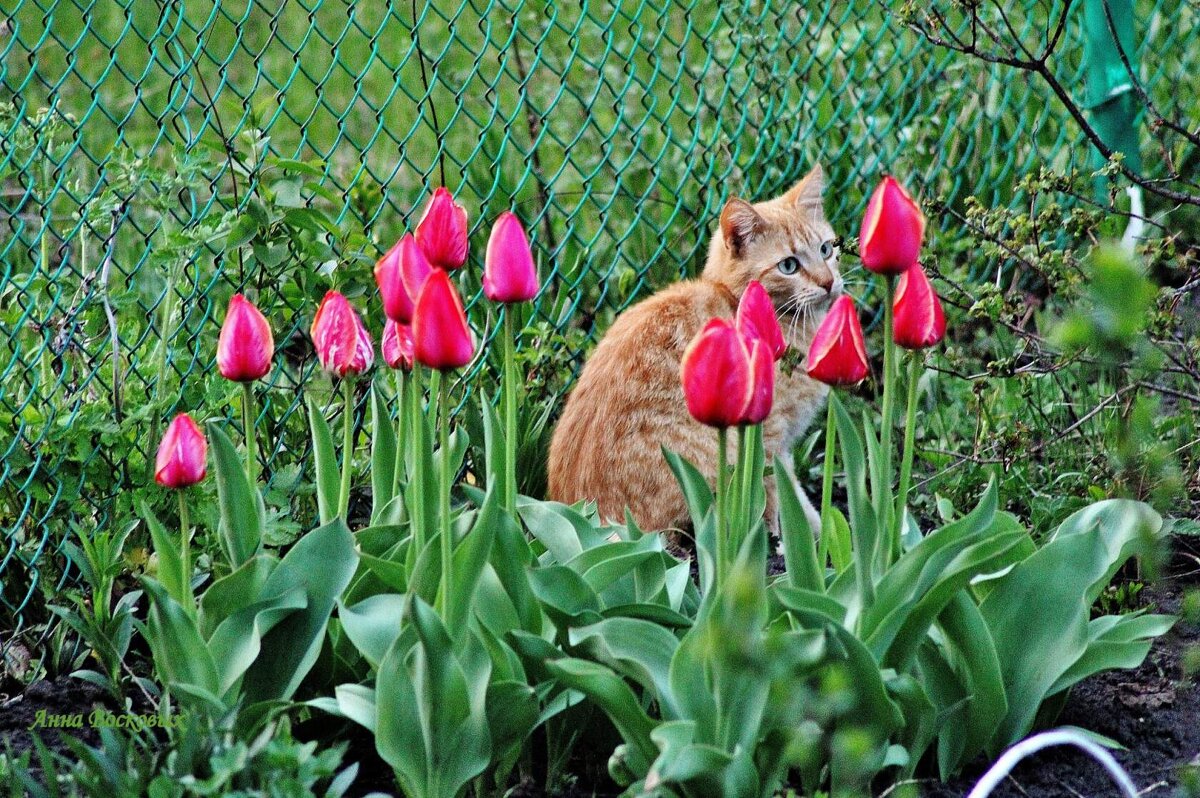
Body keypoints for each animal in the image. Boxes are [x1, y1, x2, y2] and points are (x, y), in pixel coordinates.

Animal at [547, 163, 840, 535]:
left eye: (826, 250)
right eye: (789, 265)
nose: (829, 282)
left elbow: (796, 496)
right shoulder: (769, 440)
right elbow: (778, 498)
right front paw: (790, 537)